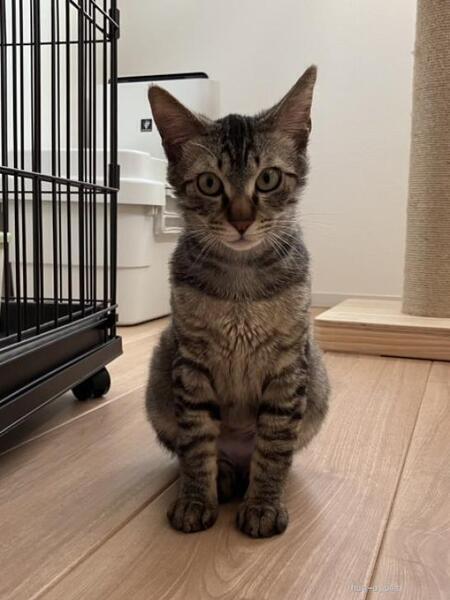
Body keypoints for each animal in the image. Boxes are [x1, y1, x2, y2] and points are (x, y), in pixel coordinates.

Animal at [145, 66, 329, 538]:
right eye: (210, 183)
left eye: (268, 178)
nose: (242, 220)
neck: (241, 282)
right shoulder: (191, 363)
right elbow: (196, 444)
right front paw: (196, 499)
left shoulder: (289, 364)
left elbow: (275, 445)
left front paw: (264, 505)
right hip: (159, 380)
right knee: (200, 450)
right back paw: (224, 477)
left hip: (319, 386)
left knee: (272, 455)